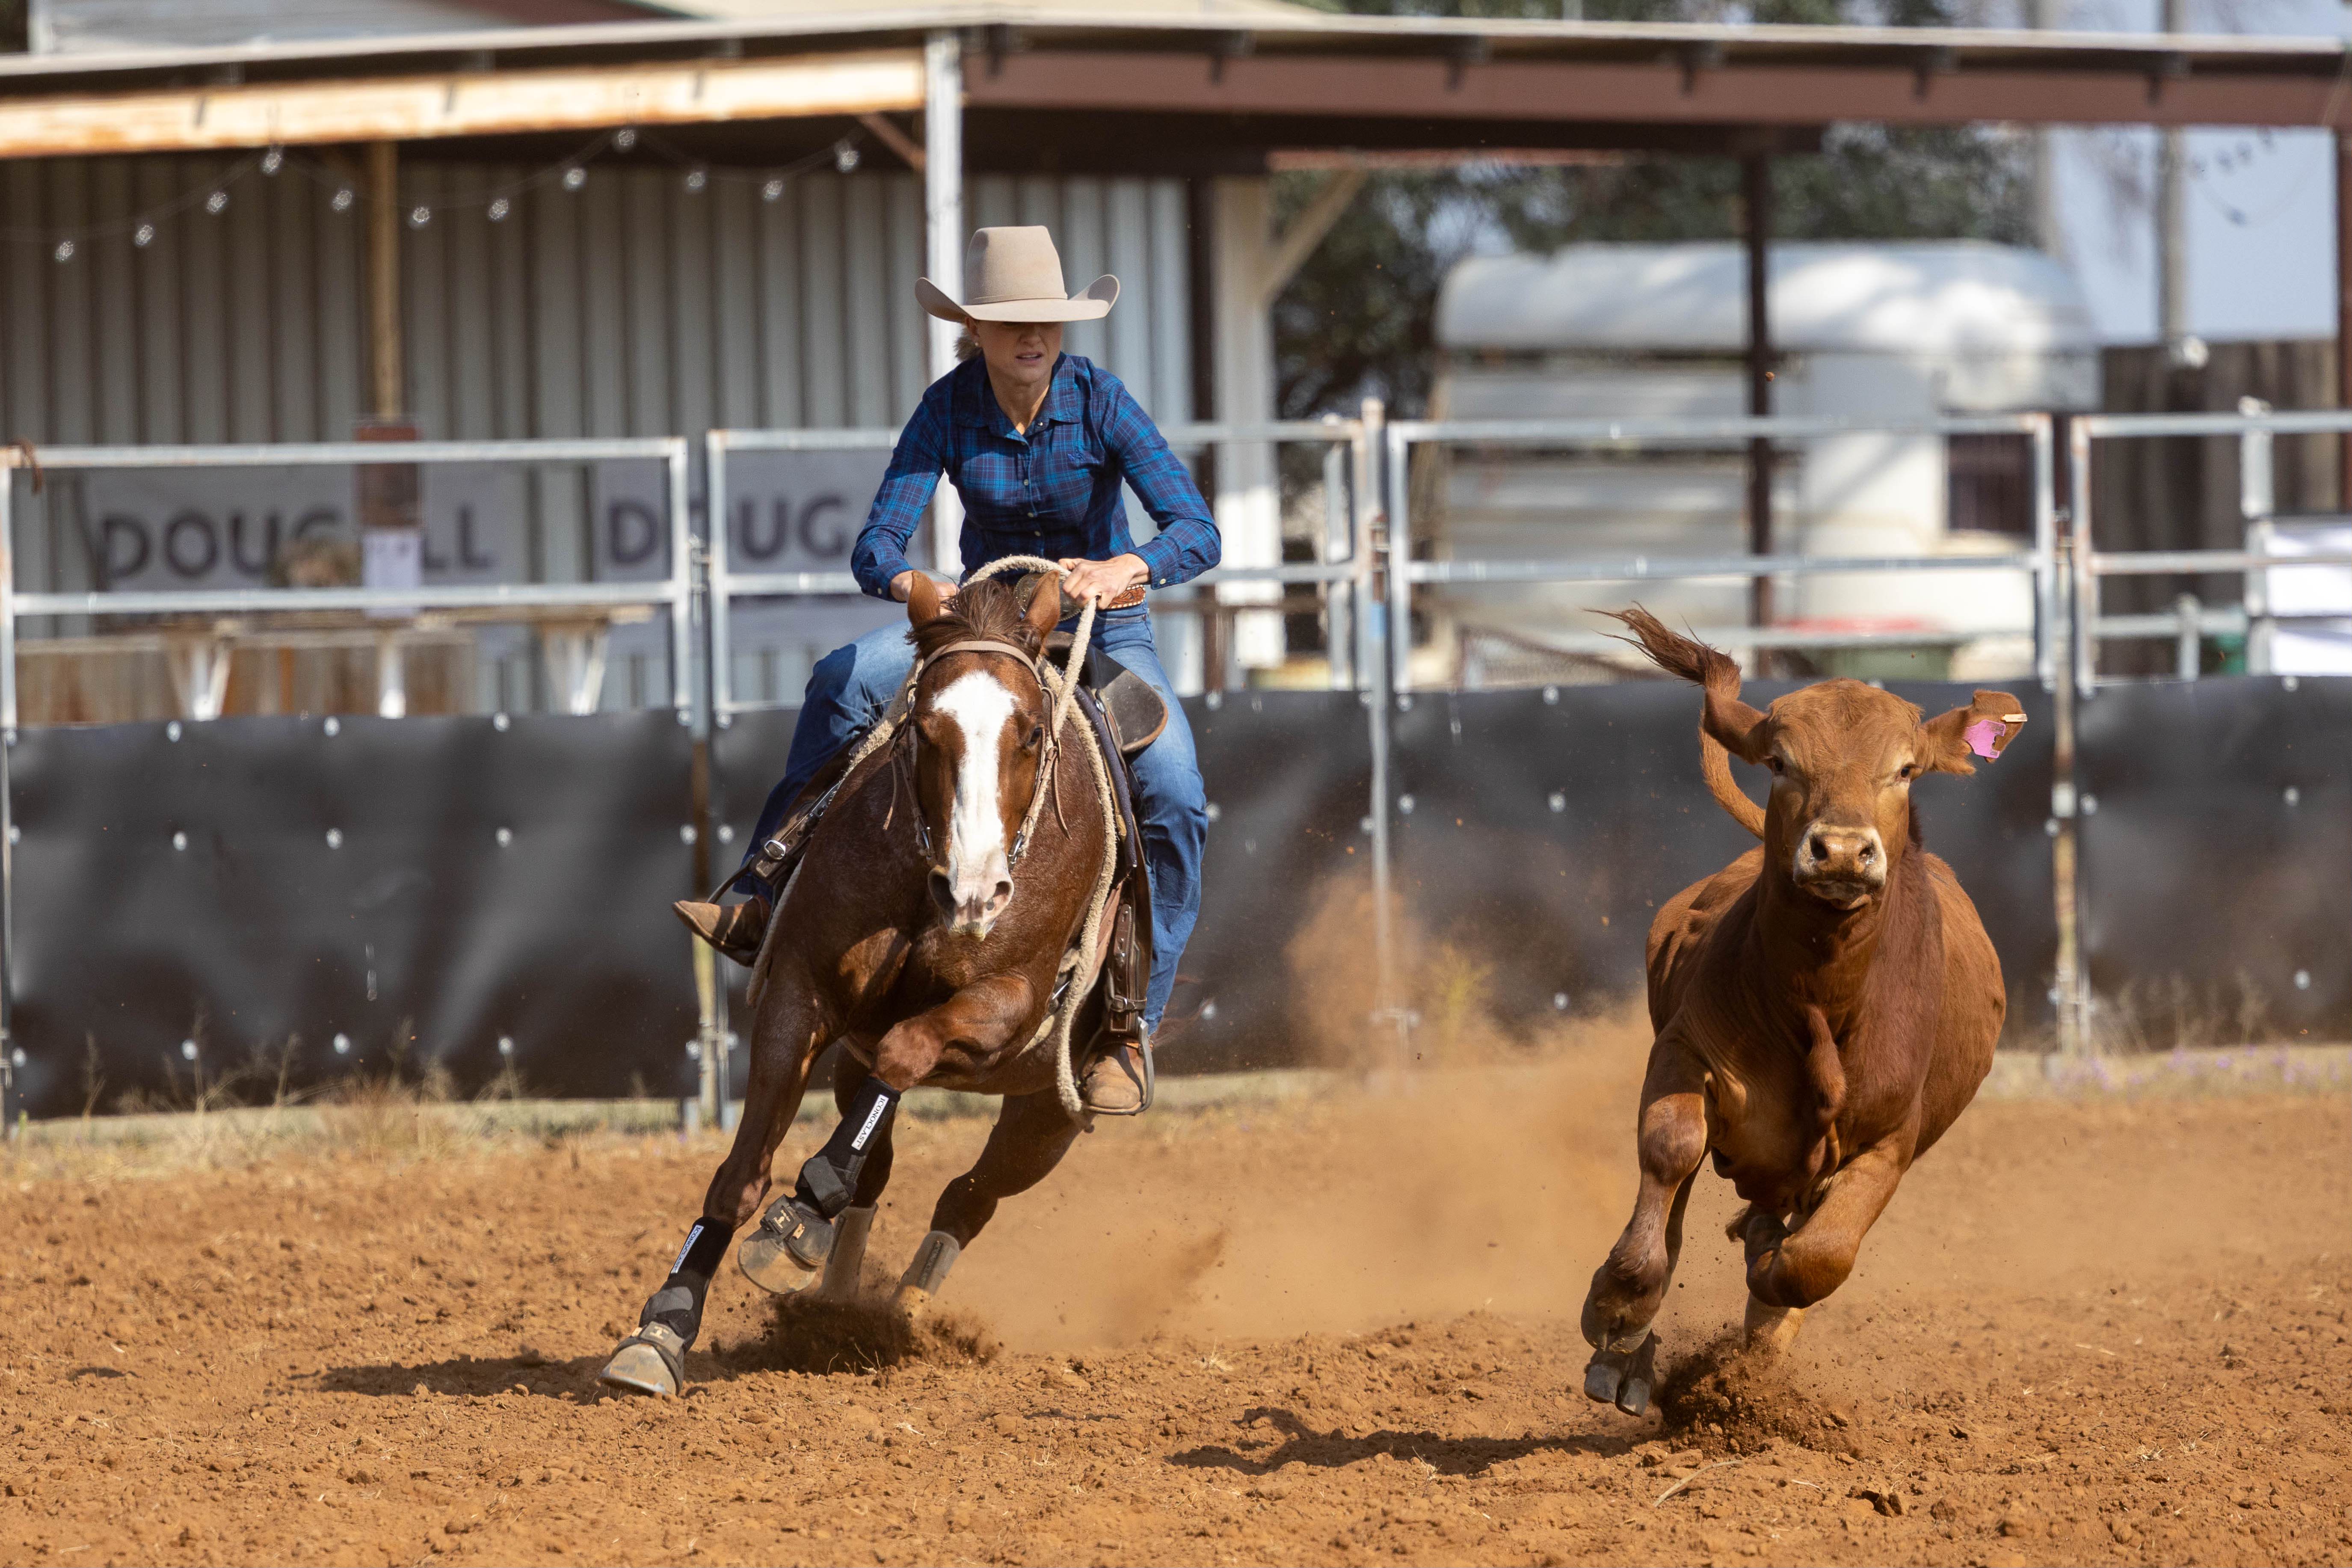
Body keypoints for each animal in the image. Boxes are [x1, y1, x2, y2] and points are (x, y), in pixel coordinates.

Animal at [600, 570, 1119, 1396]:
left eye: (1032, 734)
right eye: (923, 731)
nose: (976, 893)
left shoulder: (1003, 1008)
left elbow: (909, 1052)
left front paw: (802, 1220)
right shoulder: (801, 994)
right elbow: (741, 1173)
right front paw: (663, 1328)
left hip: (1049, 1108)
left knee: (971, 1193)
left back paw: (901, 1312)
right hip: (855, 1058)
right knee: (879, 1166)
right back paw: (840, 1307)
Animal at [1579, 608, 2027, 1417]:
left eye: (1904, 769)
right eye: (1781, 763)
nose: (1843, 851)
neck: (1820, 1002)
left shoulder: (1892, 1133)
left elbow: (1817, 1257)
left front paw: (1765, 1290)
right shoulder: (1685, 1050)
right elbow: (1669, 1152)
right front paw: (1619, 1313)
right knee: (1682, 1200)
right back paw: (1631, 1357)